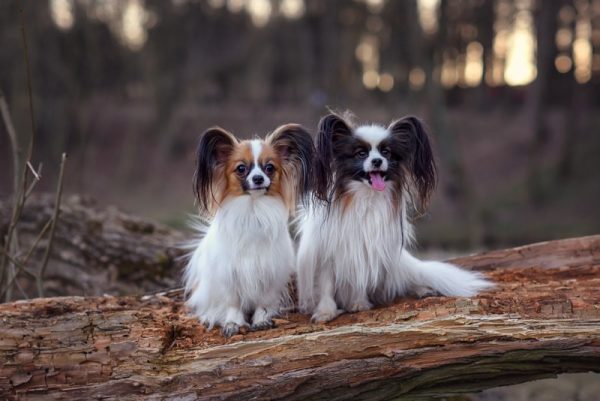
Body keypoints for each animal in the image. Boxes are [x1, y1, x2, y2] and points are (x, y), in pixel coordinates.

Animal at [184, 123, 314, 336]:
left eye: (269, 168)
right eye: (241, 169)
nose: (259, 178)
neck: (253, 210)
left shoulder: (269, 271)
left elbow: (263, 302)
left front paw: (261, 320)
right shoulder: (229, 274)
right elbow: (233, 303)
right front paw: (233, 323)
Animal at [296, 111, 492, 322]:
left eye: (386, 153)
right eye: (361, 153)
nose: (377, 161)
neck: (366, 198)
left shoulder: (366, 250)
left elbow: (360, 277)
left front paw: (358, 303)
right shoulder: (327, 252)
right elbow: (326, 284)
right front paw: (325, 311)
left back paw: (422, 289)